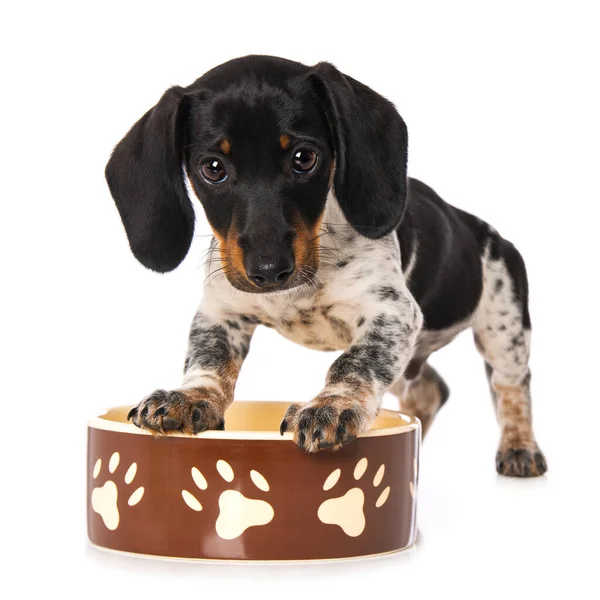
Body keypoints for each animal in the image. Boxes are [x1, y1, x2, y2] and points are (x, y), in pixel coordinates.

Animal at [105, 55, 548, 478]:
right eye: (212, 168)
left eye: (305, 158)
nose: (269, 270)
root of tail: (482, 229)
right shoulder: (220, 311)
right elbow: (209, 360)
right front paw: (190, 397)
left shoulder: (392, 312)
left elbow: (354, 362)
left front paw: (333, 406)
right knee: (431, 391)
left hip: (503, 331)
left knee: (512, 390)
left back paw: (520, 448)